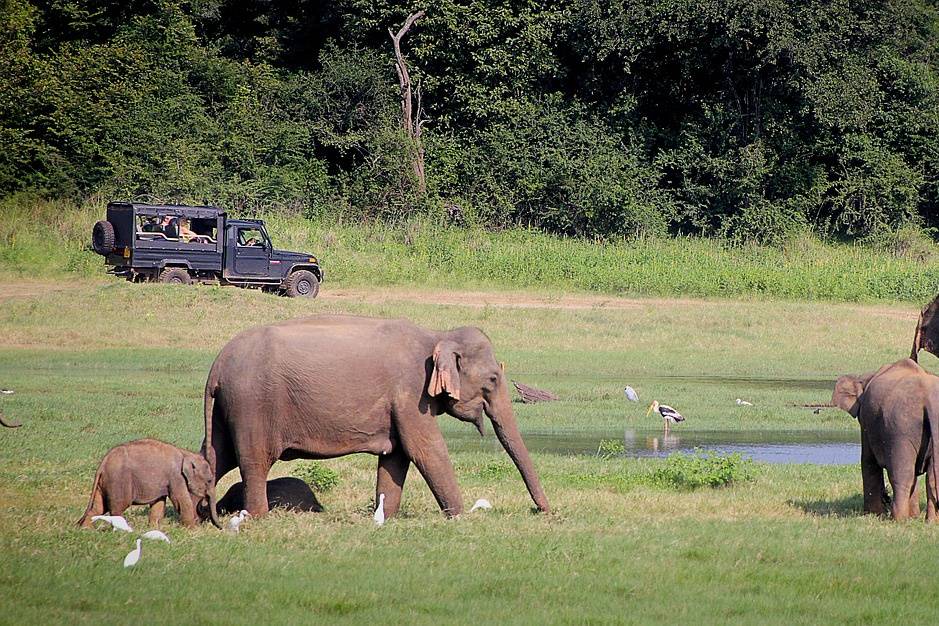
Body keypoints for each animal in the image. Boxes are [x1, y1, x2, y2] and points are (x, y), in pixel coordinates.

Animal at [200, 316, 552, 516]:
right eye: (492, 379)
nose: (543, 511)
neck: (436, 334)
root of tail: (217, 365)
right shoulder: (411, 393)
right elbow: (425, 449)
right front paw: (460, 517)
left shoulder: (400, 405)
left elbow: (396, 456)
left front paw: (386, 517)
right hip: (253, 405)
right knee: (254, 460)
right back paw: (258, 518)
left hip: (229, 409)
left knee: (215, 455)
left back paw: (201, 517)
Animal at [832, 358, 939, 520]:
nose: (886, 498)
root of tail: (928, 398)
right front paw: (914, 516)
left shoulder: (866, 420)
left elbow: (868, 460)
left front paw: (873, 514)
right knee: (929, 477)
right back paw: (930, 521)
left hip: (900, 427)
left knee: (902, 473)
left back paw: (899, 519)